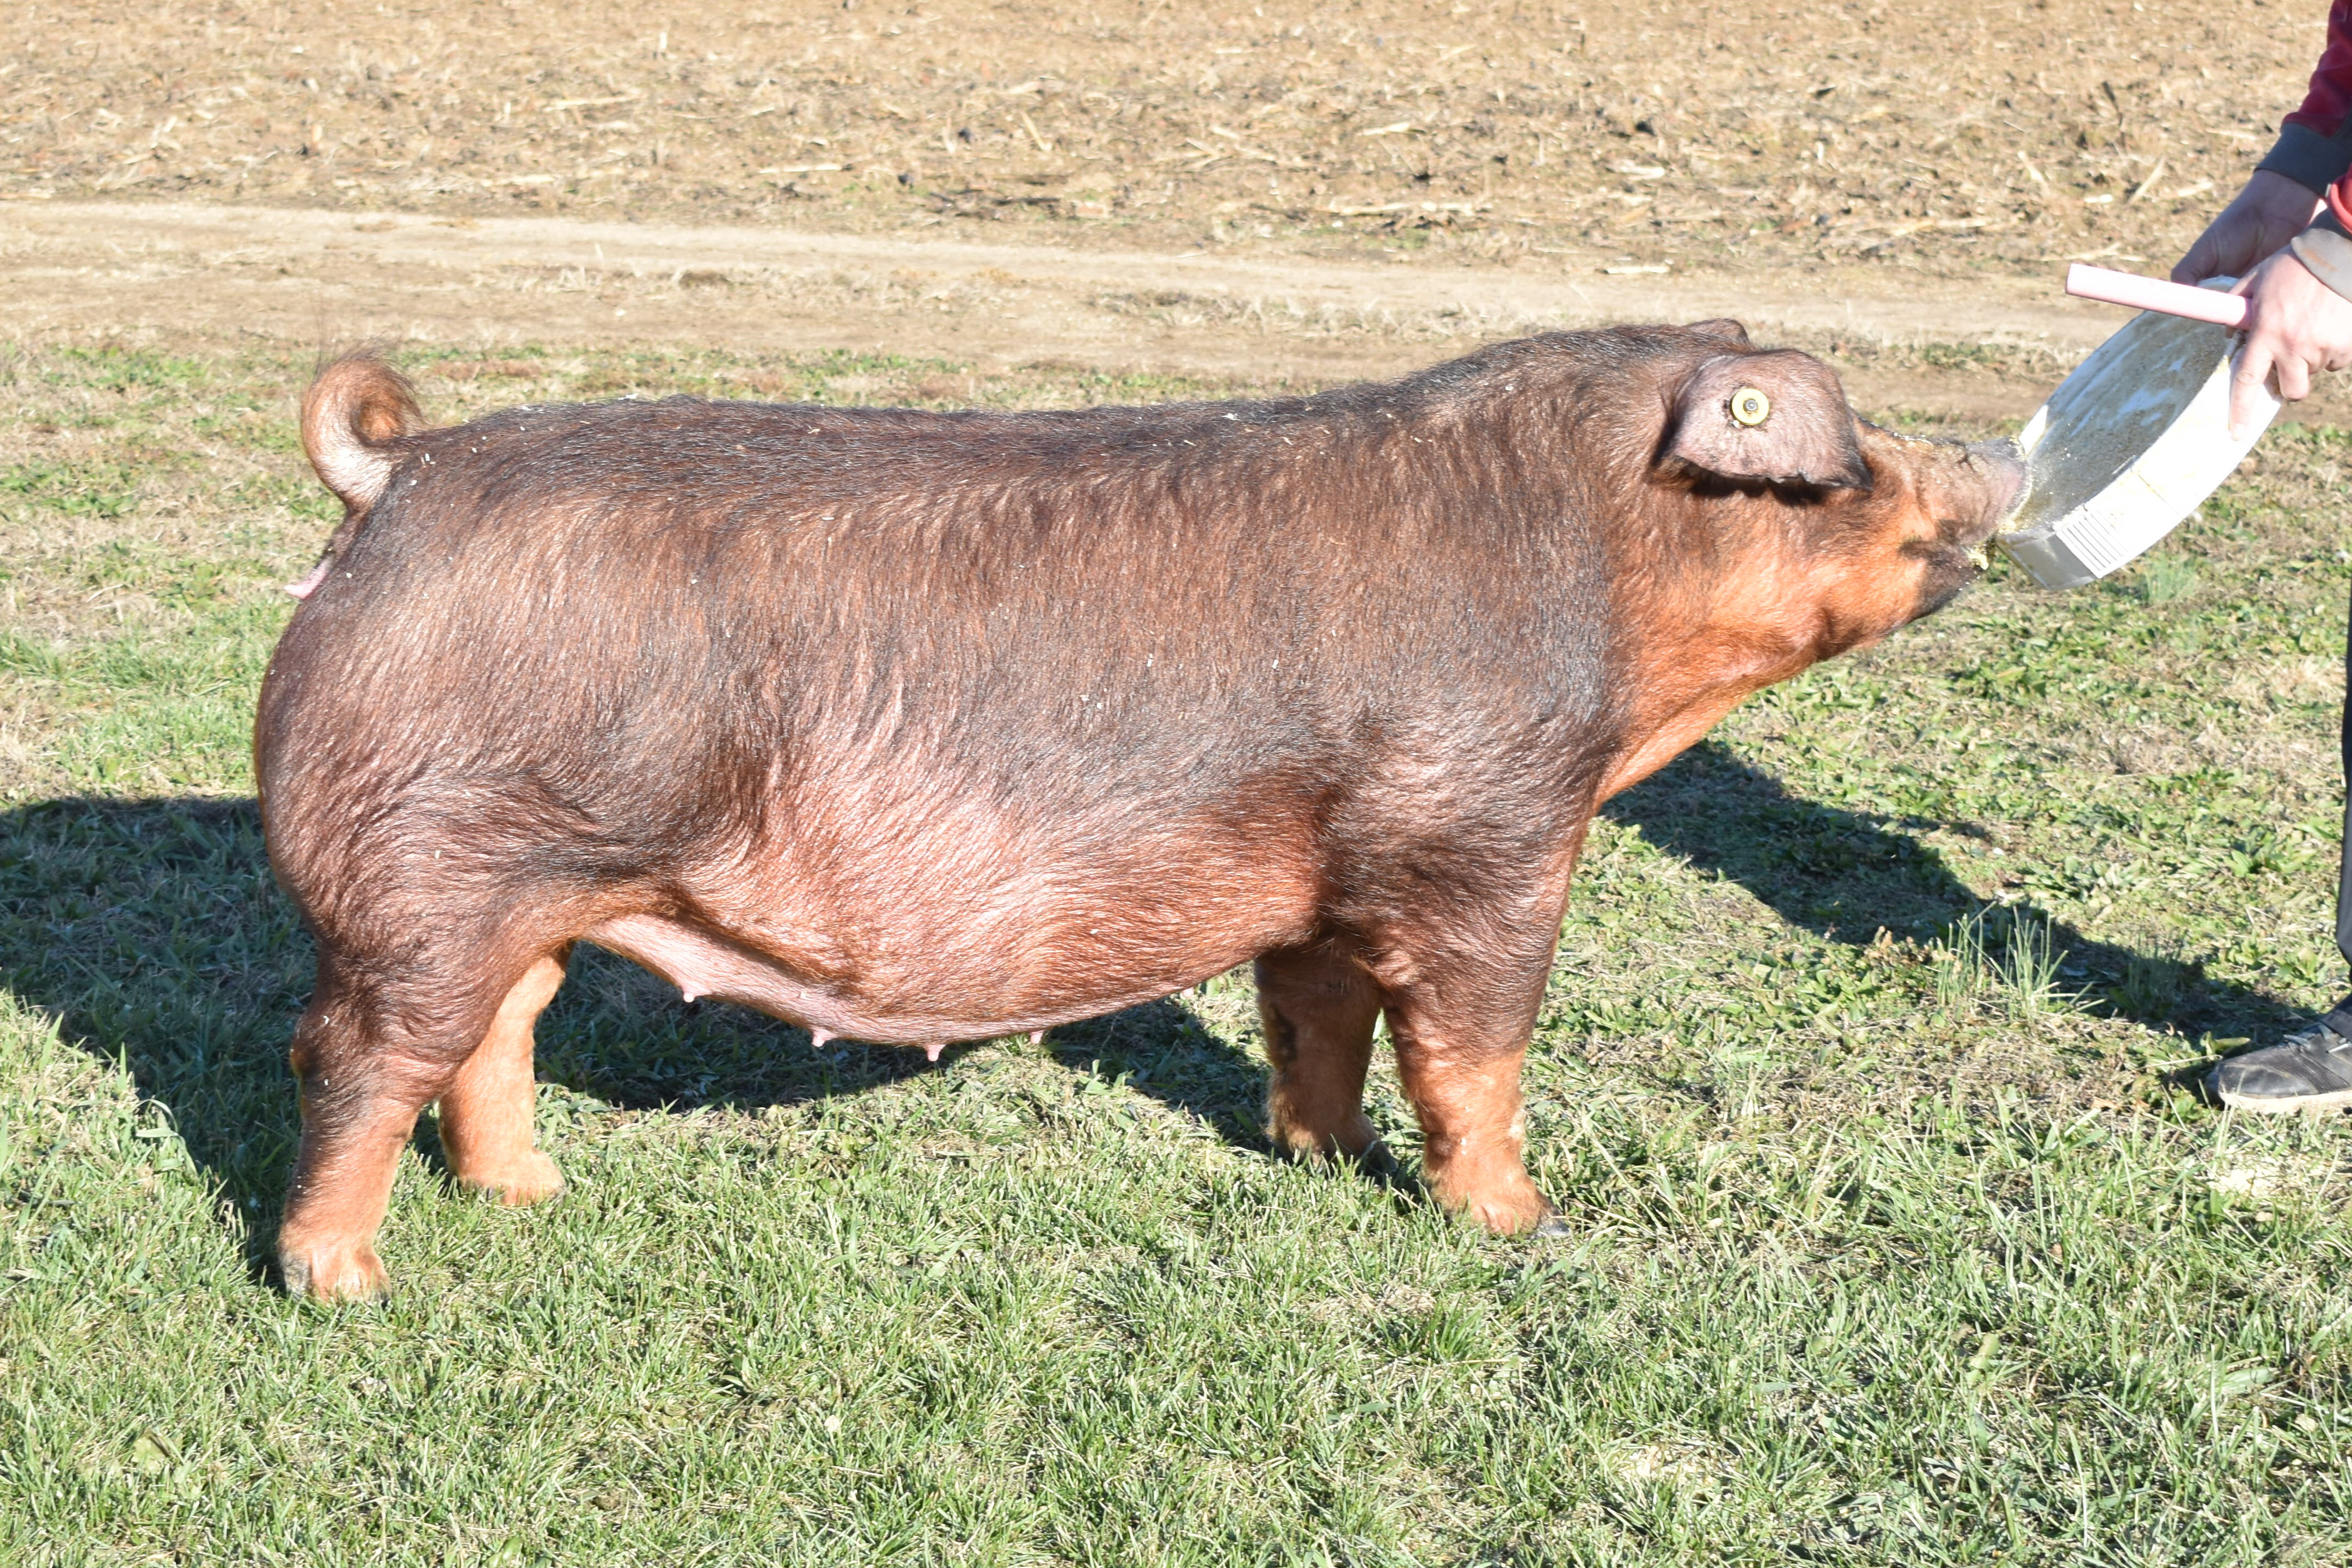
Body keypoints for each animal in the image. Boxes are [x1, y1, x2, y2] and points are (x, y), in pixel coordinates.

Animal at [257, 322, 2023, 1300]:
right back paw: (344, 1287)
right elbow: (1478, 1051)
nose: (1996, 467)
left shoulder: (1328, 870)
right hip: (421, 872)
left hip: (527, 882)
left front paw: (1324, 1160)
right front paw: (1520, 1228)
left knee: (498, 1030)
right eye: (1849, 461)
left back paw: (533, 1197)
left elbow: (1319, 1017)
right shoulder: (1489, 835)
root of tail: (399, 479)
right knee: (350, 1055)